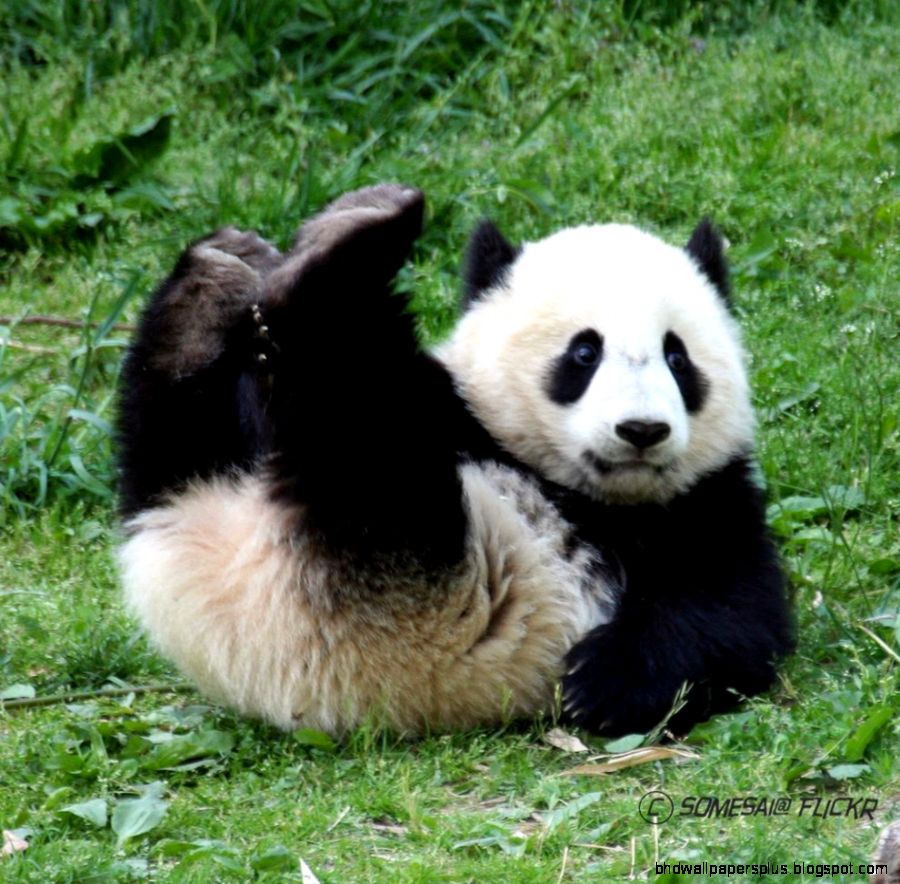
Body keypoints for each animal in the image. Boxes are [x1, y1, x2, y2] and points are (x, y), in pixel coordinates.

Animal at [117, 184, 793, 737]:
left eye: (677, 358)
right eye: (584, 354)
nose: (642, 430)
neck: (586, 496)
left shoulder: (709, 501)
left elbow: (731, 614)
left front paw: (603, 685)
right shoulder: (460, 409)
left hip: (396, 562)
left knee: (348, 427)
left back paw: (319, 257)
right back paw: (240, 274)